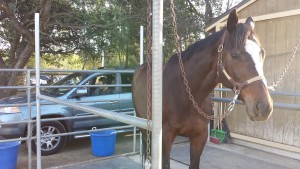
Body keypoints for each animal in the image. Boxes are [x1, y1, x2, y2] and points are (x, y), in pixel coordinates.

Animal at [131, 8, 272, 169]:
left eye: (262, 53)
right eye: (234, 55)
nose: (264, 107)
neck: (186, 94)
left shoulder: (200, 137)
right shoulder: (164, 139)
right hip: (144, 127)